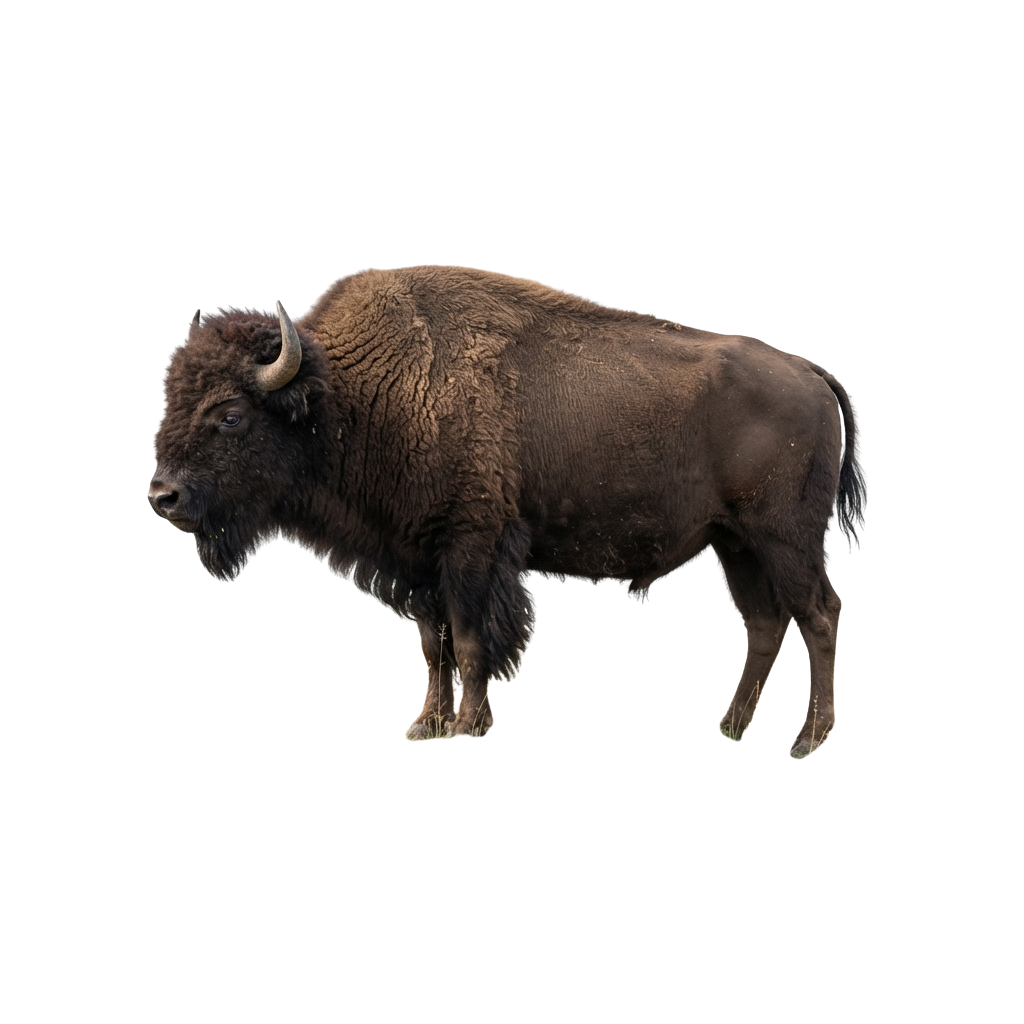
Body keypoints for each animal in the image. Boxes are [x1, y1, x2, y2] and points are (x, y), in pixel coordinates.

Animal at [149, 266, 866, 757]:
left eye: (230, 415)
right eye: (170, 398)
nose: (162, 496)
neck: (356, 393)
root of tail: (811, 373)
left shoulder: (471, 548)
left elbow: (470, 641)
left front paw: (467, 726)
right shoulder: (418, 561)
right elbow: (432, 646)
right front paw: (424, 725)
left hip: (786, 540)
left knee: (819, 616)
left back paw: (807, 739)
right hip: (735, 545)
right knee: (766, 625)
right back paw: (732, 725)